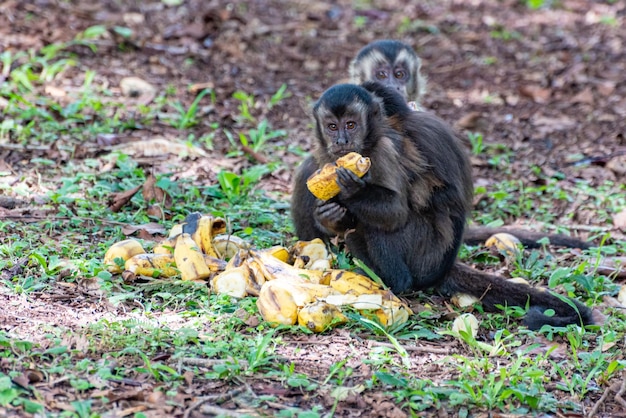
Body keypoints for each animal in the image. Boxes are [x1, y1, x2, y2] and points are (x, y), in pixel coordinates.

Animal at [290, 81, 592, 330]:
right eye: (332, 126)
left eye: (351, 125)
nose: (342, 140)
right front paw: (329, 214)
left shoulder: (385, 149)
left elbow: (396, 211)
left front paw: (351, 191)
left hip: (425, 252)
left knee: (380, 225)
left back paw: (393, 280)